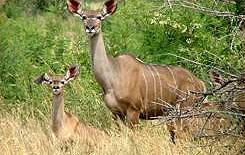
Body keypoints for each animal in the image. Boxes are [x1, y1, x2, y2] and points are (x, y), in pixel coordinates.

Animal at [66, 0, 206, 140]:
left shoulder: (134, 110)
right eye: (84, 17)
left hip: (185, 109)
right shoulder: (116, 113)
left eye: (99, 17)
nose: (90, 28)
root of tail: (201, 83)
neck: (112, 77)